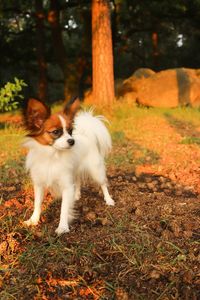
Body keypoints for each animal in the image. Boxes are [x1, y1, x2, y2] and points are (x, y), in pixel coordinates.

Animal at [22, 97, 114, 236]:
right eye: (56, 132)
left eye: (70, 132)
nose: (72, 141)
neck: (52, 156)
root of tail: (88, 137)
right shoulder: (39, 184)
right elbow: (37, 204)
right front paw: (33, 220)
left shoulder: (66, 185)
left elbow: (64, 209)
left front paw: (63, 227)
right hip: (75, 171)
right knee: (78, 180)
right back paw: (76, 195)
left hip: (96, 170)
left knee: (103, 184)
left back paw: (108, 200)